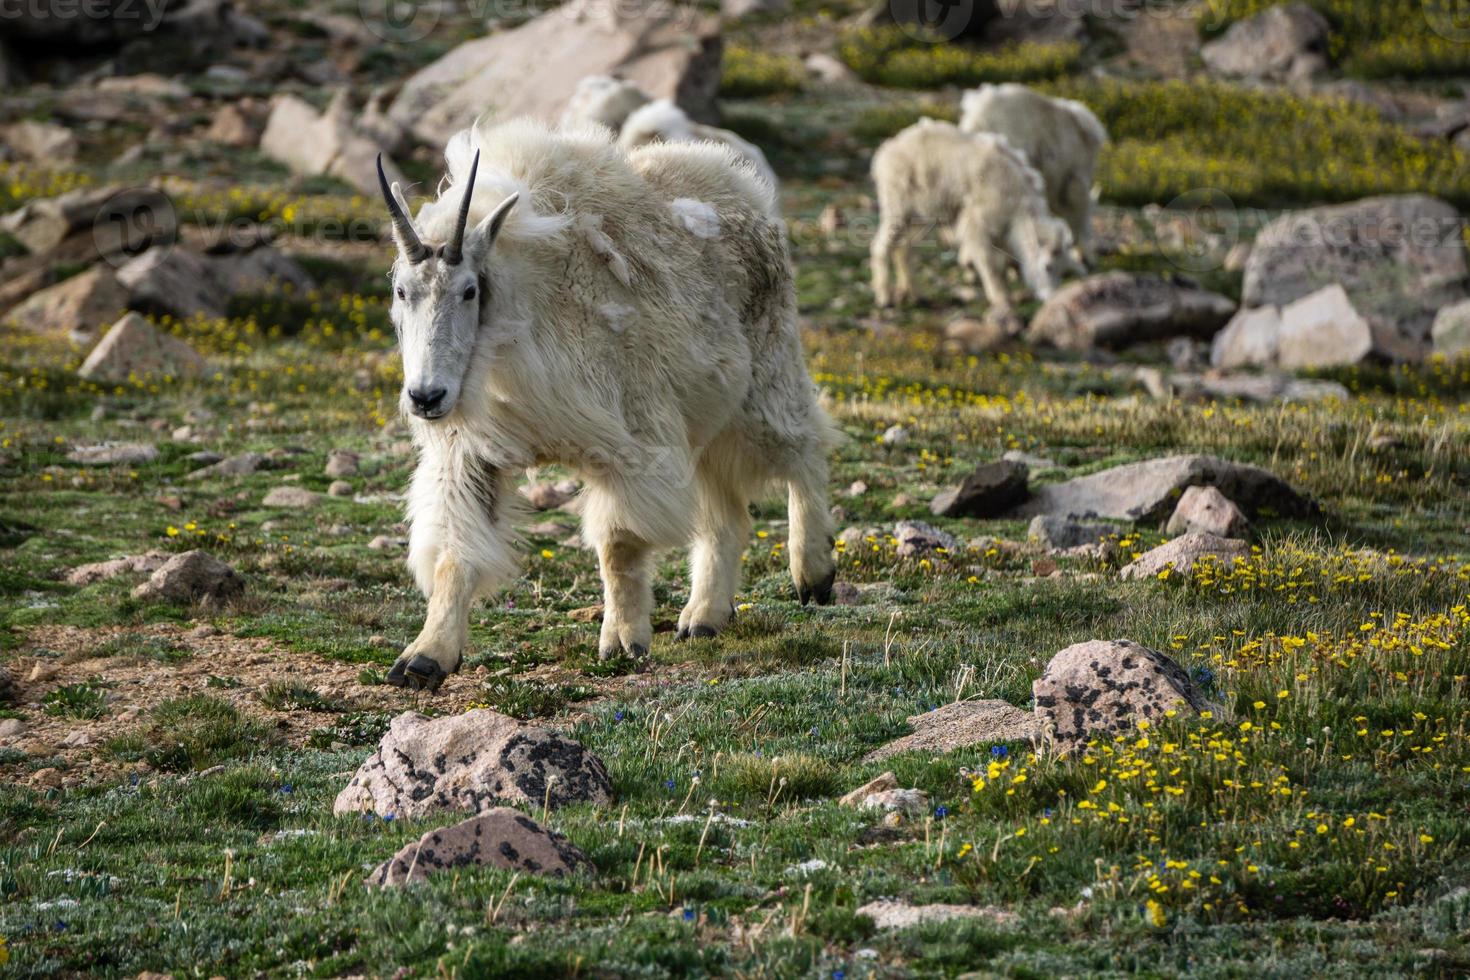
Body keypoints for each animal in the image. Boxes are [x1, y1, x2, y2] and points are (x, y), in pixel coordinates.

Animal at [373, 120, 840, 690]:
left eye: (468, 291)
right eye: (401, 291)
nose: (426, 397)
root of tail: (746, 189)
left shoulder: (628, 440)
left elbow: (620, 545)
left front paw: (621, 642)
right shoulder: (472, 451)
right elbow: (454, 553)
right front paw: (423, 658)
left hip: (764, 377)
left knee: (803, 448)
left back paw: (813, 572)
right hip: (701, 417)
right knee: (724, 512)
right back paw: (704, 616)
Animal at [864, 117, 1076, 314]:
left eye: (1064, 269)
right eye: (1048, 266)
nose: (1051, 298)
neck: (1018, 204)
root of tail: (884, 153)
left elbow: (1000, 264)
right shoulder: (978, 222)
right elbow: (988, 262)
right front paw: (1001, 299)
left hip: (919, 216)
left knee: (903, 250)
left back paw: (916, 296)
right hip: (897, 205)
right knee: (881, 246)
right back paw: (884, 298)